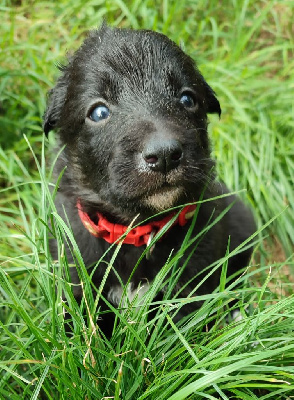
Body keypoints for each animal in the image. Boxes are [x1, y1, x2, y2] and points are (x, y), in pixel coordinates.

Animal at [43, 22, 255, 334]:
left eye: (187, 98)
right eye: (99, 111)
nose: (165, 154)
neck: (138, 231)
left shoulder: (192, 285)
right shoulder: (74, 279)